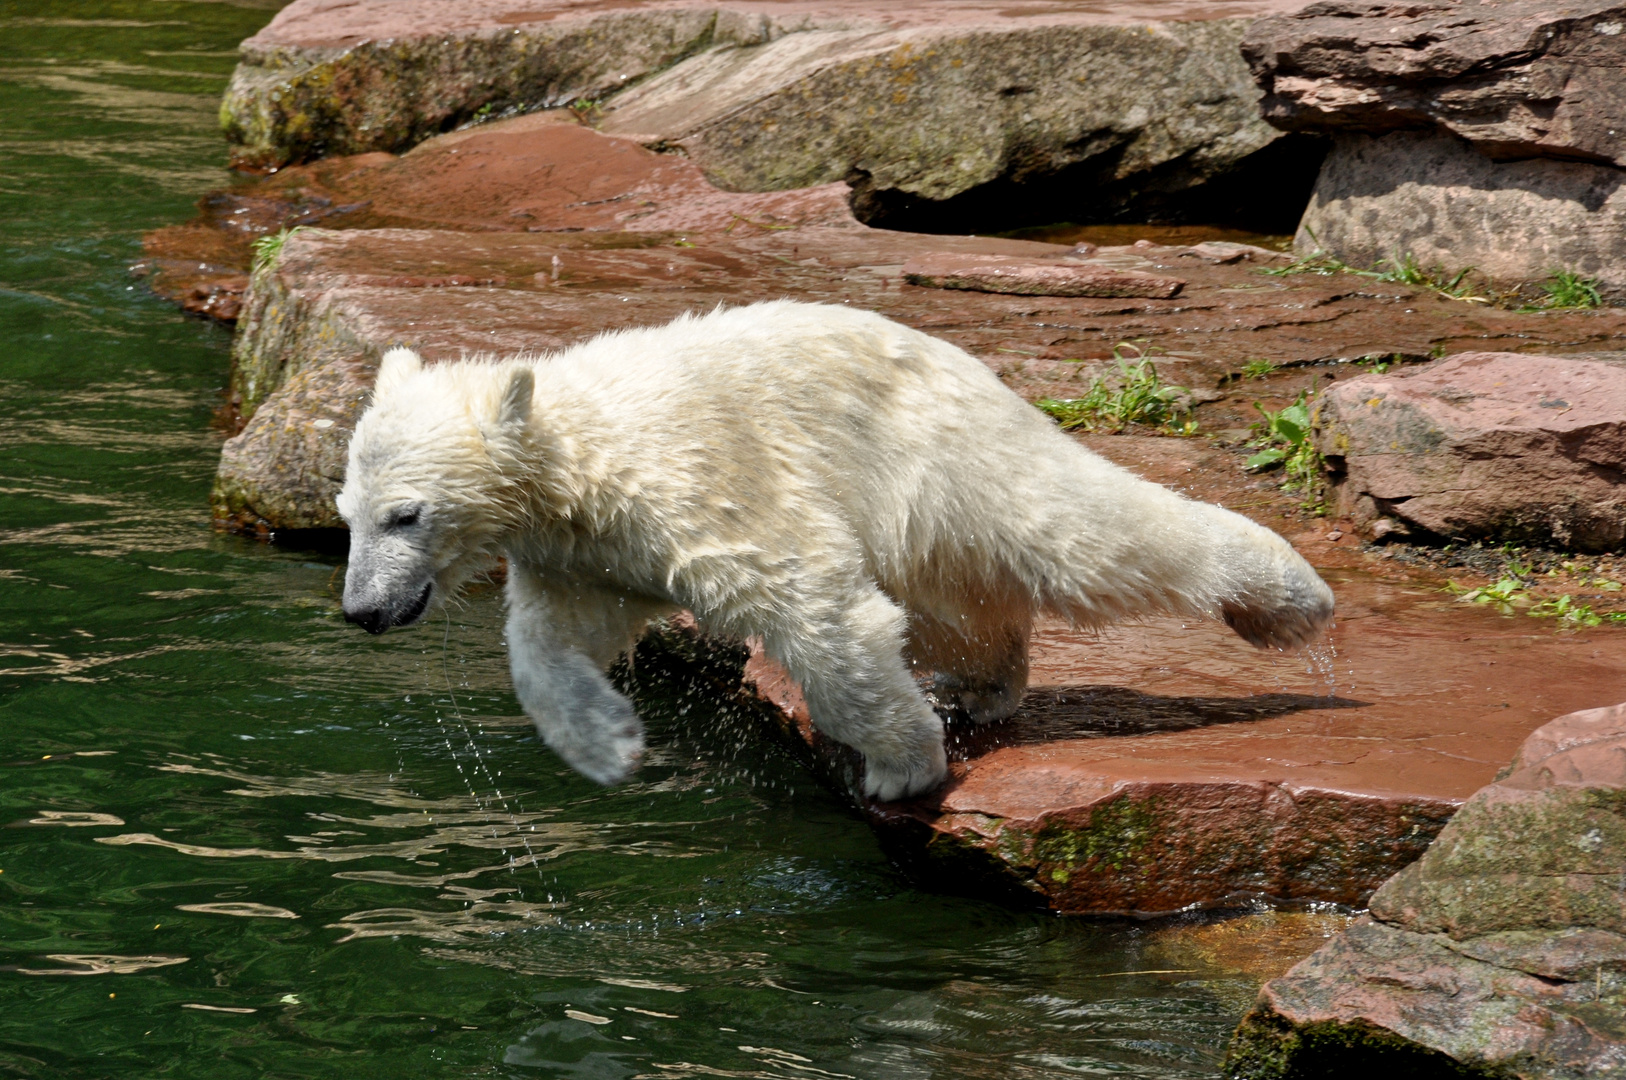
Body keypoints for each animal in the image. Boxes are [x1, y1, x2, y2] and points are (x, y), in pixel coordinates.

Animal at [333, 300, 1333, 800]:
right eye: (348, 513)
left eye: (406, 515)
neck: (580, 453)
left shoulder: (699, 481)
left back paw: (1289, 600)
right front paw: (609, 745)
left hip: (933, 459)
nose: (362, 610)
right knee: (959, 608)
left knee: (1077, 532)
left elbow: (812, 601)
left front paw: (903, 766)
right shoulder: (584, 551)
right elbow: (552, 642)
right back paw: (984, 683)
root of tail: (981, 374)